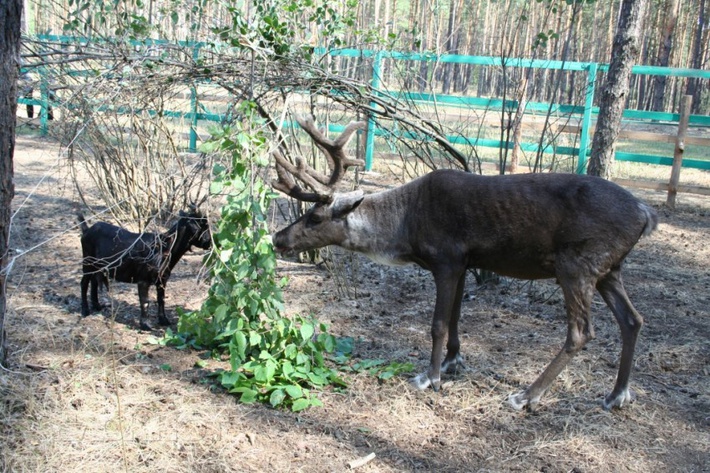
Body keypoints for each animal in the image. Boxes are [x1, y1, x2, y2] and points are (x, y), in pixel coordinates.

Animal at [78, 209, 211, 328]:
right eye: (203, 226)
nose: (209, 242)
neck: (165, 247)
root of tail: (87, 230)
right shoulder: (143, 279)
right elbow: (145, 301)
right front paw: (145, 324)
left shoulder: (162, 280)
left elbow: (161, 299)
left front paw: (164, 320)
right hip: (88, 261)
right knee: (84, 282)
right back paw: (85, 310)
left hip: (97, 266)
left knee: (94, 281)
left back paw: (97, 306)